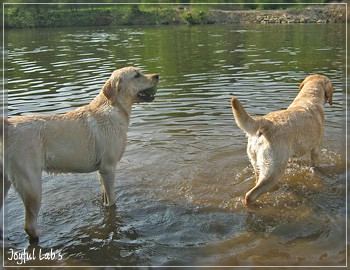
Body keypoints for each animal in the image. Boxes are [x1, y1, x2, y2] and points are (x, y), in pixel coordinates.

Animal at [0, 67, 159, 240]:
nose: (157, 75)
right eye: (136, 75)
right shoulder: (108, 168)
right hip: (32, 186)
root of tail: (7, 125)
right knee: (29, 225)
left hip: (5, 183)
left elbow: (105, 198)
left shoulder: (101, 171)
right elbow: (112, 201)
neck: (114, 108)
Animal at [231, 74, 332, 205]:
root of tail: (266, 123)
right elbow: (316, 166)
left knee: (257, 181)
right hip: (274, 169)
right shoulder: (316, 150)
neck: (309, 96)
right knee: (250, 195)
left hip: (256, 163)